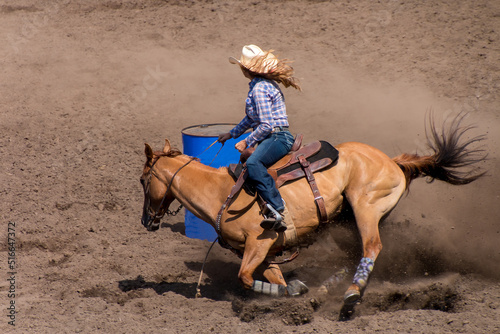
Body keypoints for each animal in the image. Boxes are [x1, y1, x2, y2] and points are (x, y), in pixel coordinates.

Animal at [140, 113, 484, 320]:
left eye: (143, 180)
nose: (146, 221)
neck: (220, 192)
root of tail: (393, 161)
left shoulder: (259, 242)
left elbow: (244, 277)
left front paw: (291, 292)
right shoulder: (266, 253)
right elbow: (272, 279)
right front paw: (293, 294)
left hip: (365, 210)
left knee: (372, 247)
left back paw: (351, 295)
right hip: (344, 222)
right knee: (356, 253)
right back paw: (327, 289)